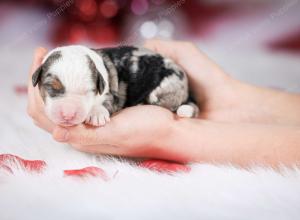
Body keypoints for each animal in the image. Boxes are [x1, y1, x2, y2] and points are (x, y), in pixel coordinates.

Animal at [31, 45, 199, 126]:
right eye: (51, 88)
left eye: (89, 92)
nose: (68, 115)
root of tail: (188, 92)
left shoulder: (112, 93)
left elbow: (105, 102)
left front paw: (97, 114)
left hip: (166, 89)